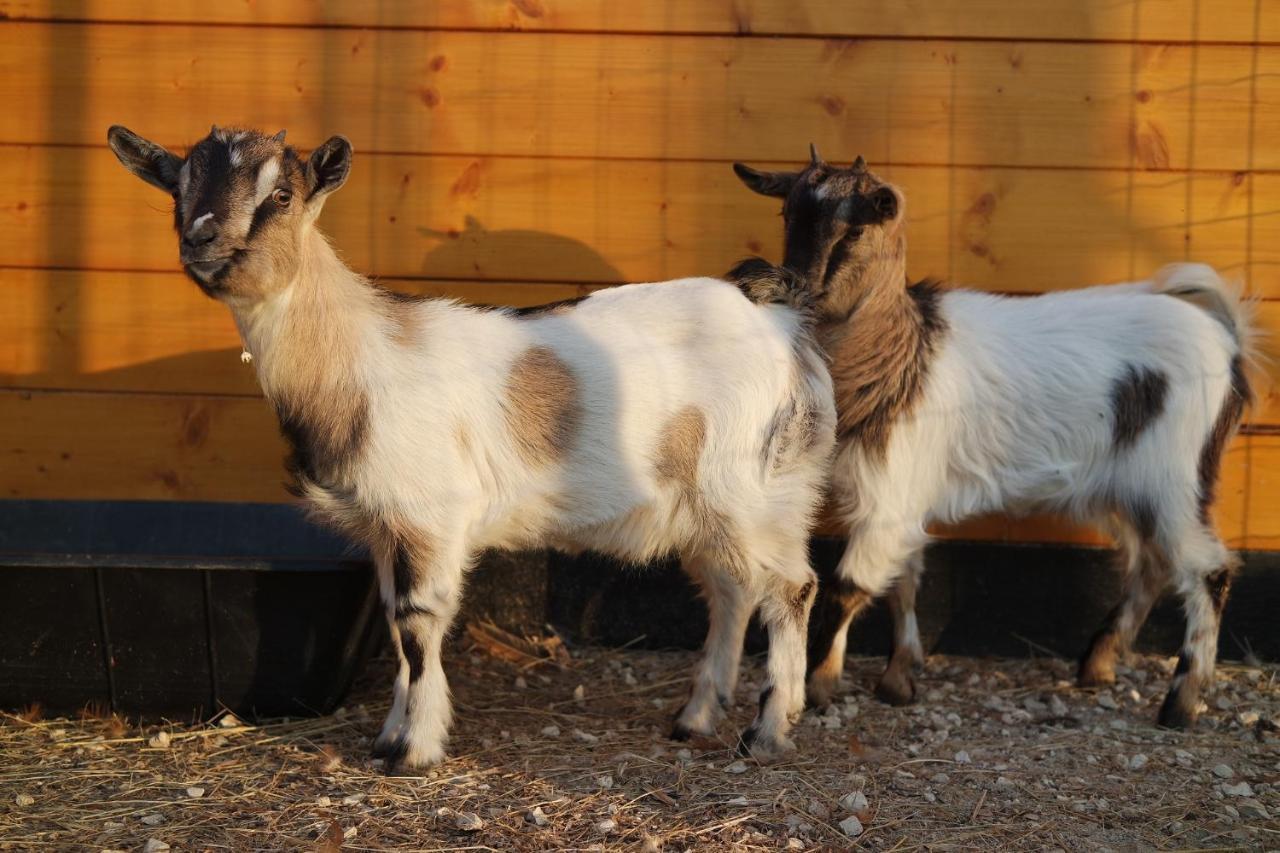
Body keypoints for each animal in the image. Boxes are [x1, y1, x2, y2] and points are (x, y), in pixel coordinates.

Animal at [104, 128, 834, 768]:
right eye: (177, 190)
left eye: (280, 195)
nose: (201, 241)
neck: (362, 350)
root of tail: (782, 326)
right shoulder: (387, 525)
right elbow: (395, 628)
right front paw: (390, 735)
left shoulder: (430, 513)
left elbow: (418, 625)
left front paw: (414, 751)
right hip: (722, 503)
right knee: (733, 588)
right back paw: (696, 717)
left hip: (754, 488)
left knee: (793, 587)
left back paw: (768, 731)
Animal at [737, 146, 1254, 722]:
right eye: (788, 214)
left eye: (856, 228)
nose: (793, 283)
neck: (902, 356)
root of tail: (1226, 340)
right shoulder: (899, 494)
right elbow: (904, 580)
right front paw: (894, 678)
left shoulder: (889, 497)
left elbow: (848, 588)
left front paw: (812, 688)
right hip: (1133, 485)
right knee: (1152, 563)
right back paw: (1097, 666)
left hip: (1176, 476)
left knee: (1208, 570)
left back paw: (1181, 702)